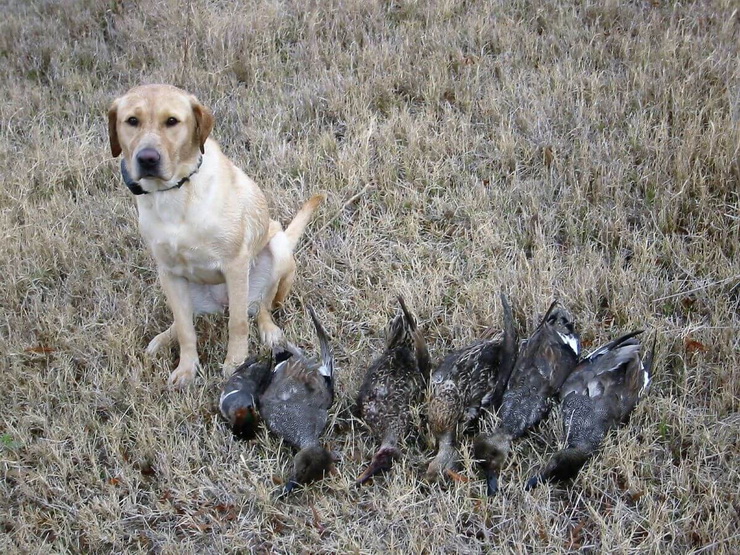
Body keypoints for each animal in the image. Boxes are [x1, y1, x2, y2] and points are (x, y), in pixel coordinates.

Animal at [107, 84, 324, 388]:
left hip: (277, 249)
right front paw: (186, 368)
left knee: (262, 307)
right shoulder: (168, 272)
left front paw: (235, 363)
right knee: (183, 319)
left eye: (172, 121)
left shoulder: (235, 265)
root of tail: (220, 303)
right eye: (132, 121)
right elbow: (185, 329)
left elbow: (238, 323)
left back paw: (269, 331)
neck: (174, 194)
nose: (147, 159)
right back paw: (163, 338)